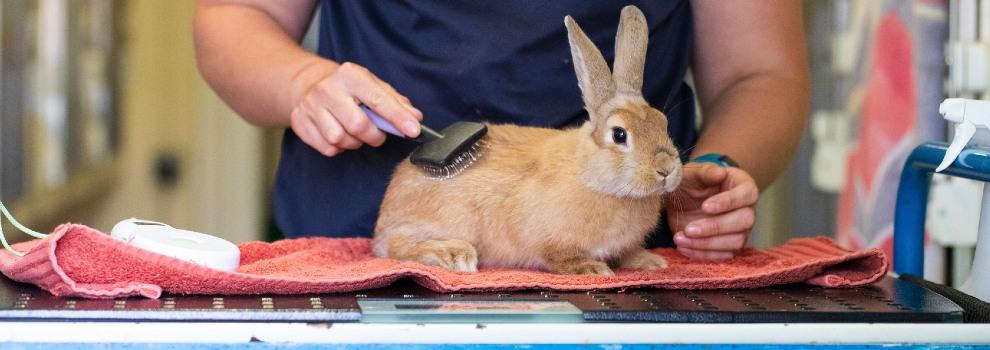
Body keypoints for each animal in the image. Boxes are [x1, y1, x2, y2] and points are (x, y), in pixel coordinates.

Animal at [372, 4, 680, 274]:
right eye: (619, 134)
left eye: (663, 123)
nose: (666, 170)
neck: (587, 173)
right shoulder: (548, 239)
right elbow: (561, 257)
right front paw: (592, 268)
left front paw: (650, 261)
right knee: (394, 245)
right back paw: (453, 254)